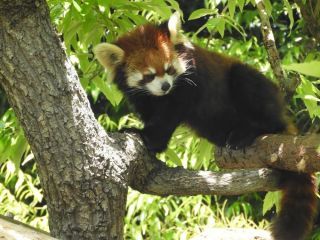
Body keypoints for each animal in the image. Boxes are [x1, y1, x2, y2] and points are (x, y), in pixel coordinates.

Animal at [93, 13, 318, 240]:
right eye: (148, 75)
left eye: (169, 69)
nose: (165, 86)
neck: (158, 97)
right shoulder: (143, 98)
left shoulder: (187, 84)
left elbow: (168, 117)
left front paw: (147, 138)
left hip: (253, 87)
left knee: (254, 96)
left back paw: (246, 132)